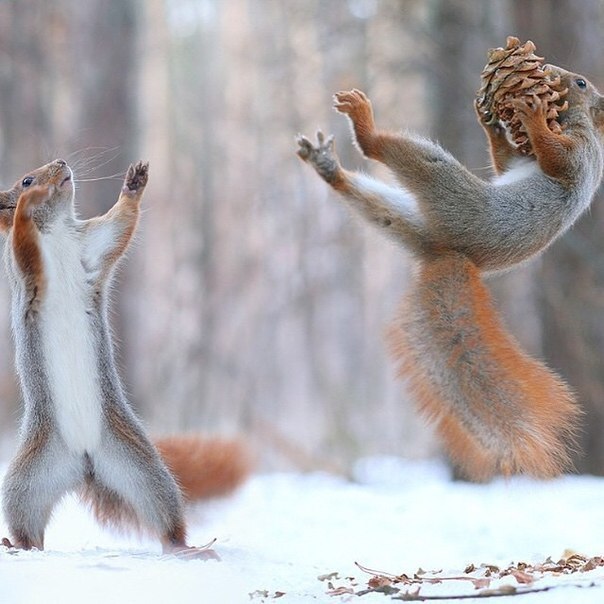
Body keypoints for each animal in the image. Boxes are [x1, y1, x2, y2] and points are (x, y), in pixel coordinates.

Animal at [0, 159, 250, 552]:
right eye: (25, 179)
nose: (61, 164)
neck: (56, 231)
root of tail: (84, 461)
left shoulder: (92, 245)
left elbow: (120, 225)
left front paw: (134, 185)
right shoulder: (23, 266)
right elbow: (23, 239)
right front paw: (28, 204)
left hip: (141, 468)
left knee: (164, 515)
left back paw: (187, 548)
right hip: (27, 479)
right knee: (28, 524)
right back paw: (19, 545)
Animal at [298, 65, 604, 482]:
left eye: (582, 83)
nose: (552, 72)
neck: (579, 121)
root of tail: (451, 254)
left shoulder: (581, 155)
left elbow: (556, 159)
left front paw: (534, 116)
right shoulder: (522, 162)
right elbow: (506, 162)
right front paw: (492, 122)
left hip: (448, 189)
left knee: (391, 153)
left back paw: (365, 128)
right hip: (405, 219)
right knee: (375, 205)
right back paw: (329, 168)